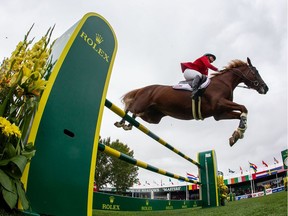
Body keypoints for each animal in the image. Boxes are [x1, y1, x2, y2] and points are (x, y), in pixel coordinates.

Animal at [114, 57, 268, 146]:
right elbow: (244, 108)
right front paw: (240, 131)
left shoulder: (219, 114)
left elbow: (241, 112)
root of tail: (144, 88)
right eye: (255, 72)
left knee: (135, 114)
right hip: (142, 105)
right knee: (129, 107)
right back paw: (121, 123)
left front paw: (237, 134)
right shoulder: (219, 104)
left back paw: (129, 125)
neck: (224, 82)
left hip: (152, 117)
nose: (265, 88)